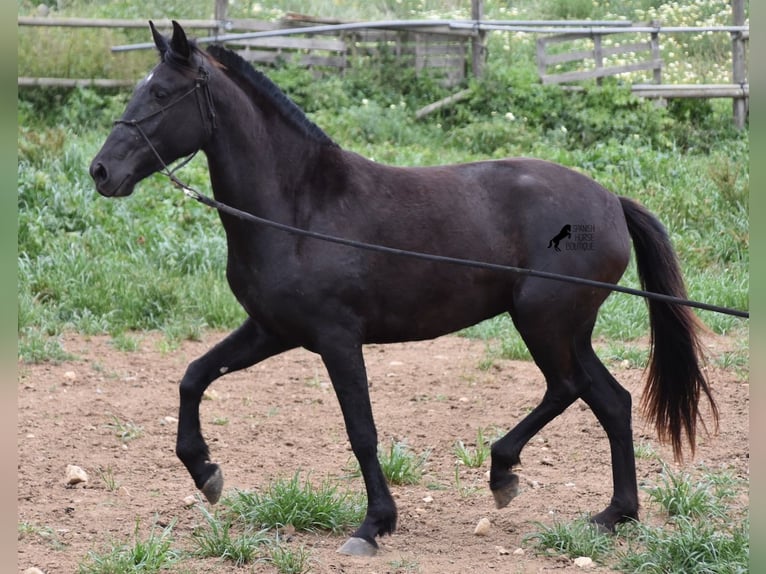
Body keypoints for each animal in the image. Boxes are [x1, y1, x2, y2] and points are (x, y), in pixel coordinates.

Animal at [90, 22, 720, 560]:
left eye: (162, 93)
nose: (101, 172)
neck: (299, 210)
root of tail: (611, 201)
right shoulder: (271, 331)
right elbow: (193, 376)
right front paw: (207, 473)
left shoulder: (337, 339)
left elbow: (361, 431)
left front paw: (374, 525)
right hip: (568, 329)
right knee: (610, 400)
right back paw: (614, 514)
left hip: (544, 322)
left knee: (568, 389)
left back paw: (505, 473)